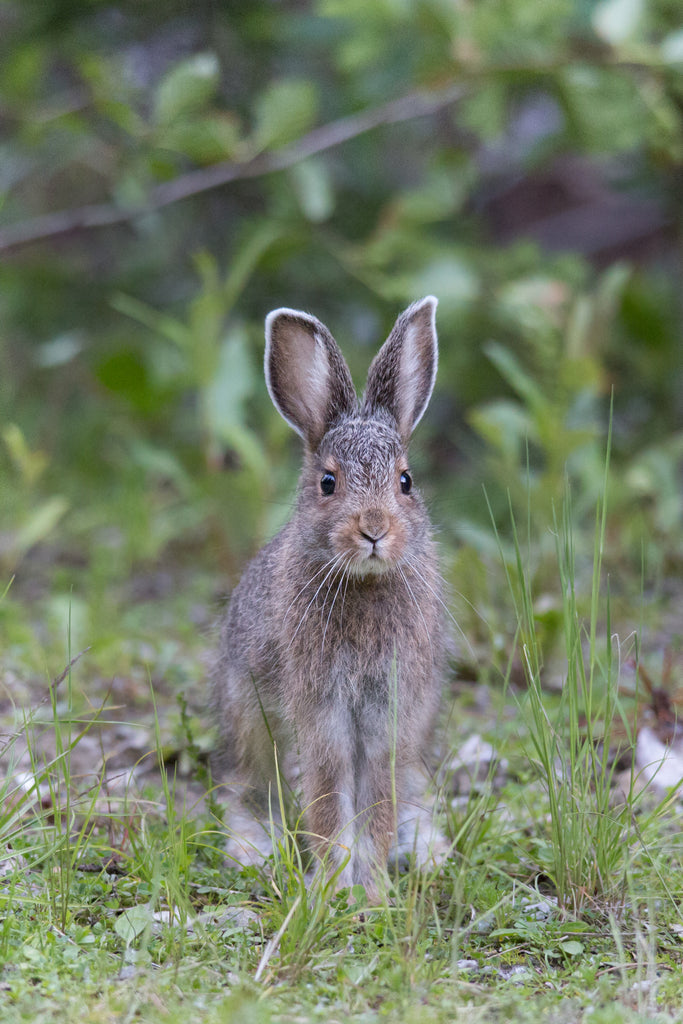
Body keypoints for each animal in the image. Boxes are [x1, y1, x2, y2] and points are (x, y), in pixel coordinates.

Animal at [212, 296, 449, 901]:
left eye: (406, 481)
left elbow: (377, 807)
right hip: (249, 724)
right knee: (247, 788)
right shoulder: (322, 715)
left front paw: (373, 891)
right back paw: (253, 850)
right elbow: (327, 802)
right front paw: (334, 890)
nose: (374, 529)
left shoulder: (389, 715)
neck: (362, 583)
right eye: (328, 483)